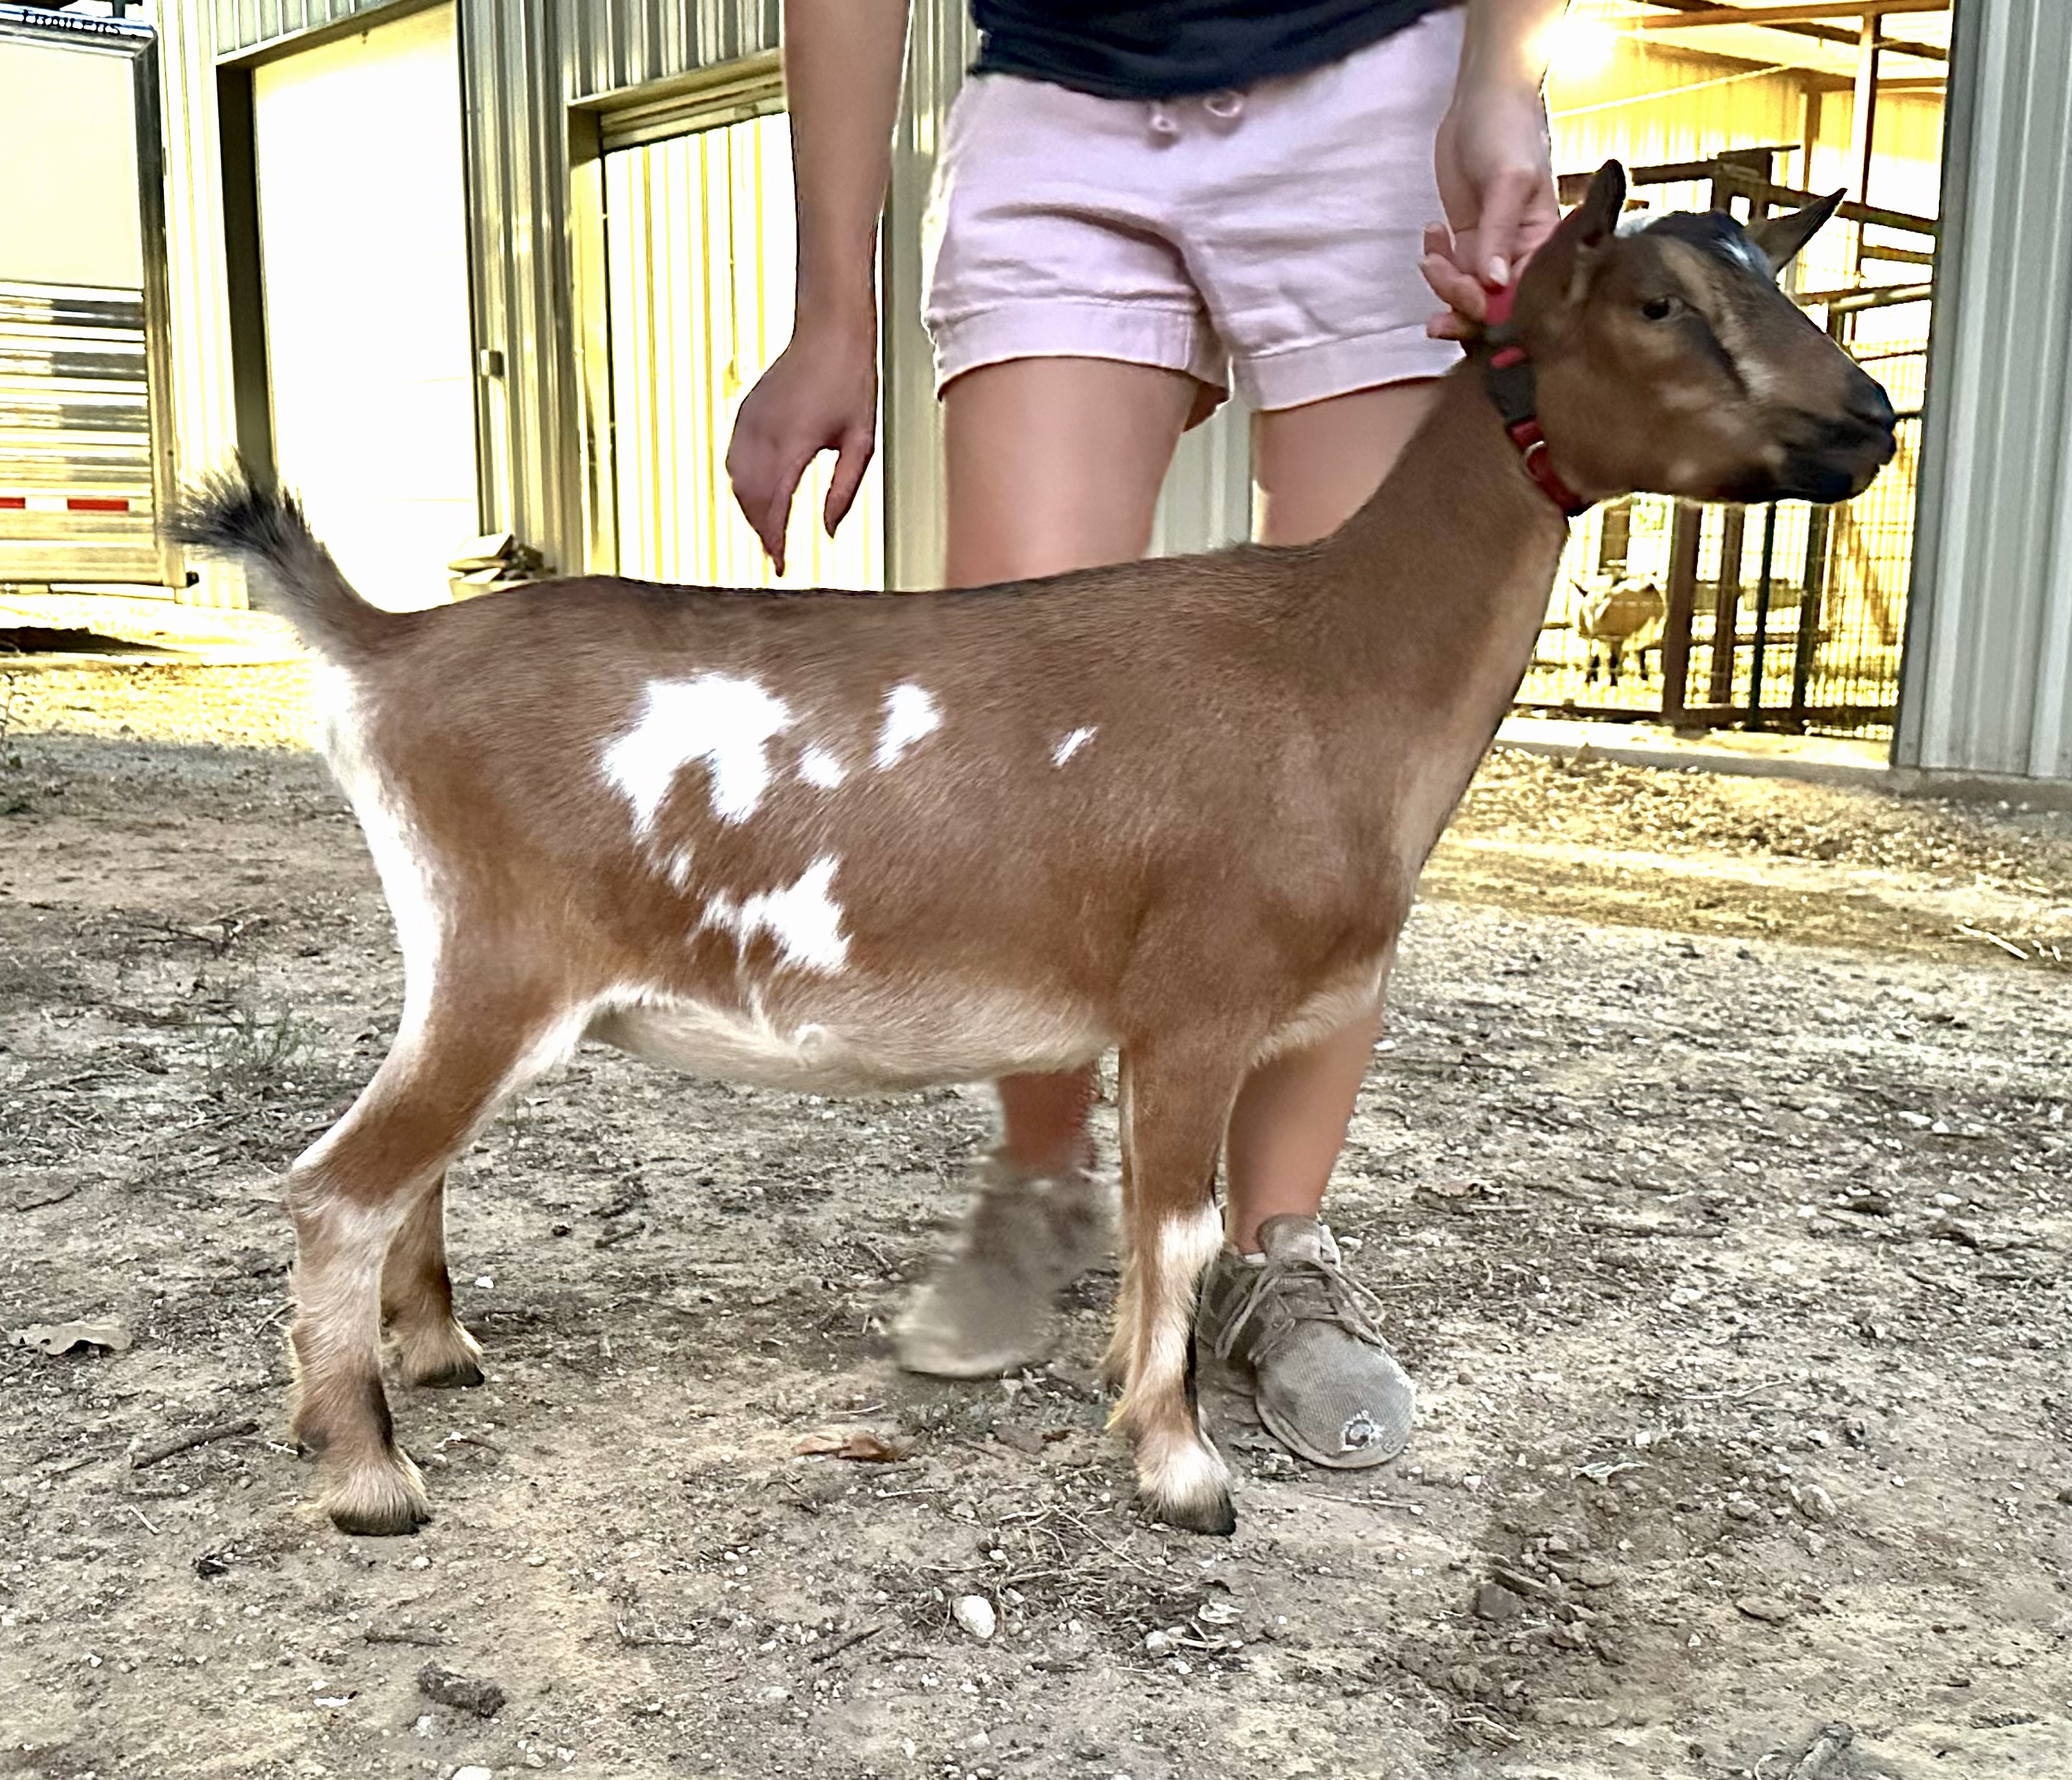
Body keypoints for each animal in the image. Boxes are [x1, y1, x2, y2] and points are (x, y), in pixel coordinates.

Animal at [169, 164, 1893, 1539]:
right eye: (1659, 303)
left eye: (1777, 283)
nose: (1867, 421)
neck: (1332, 660)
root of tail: (387, 641)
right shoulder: (1194, 1001)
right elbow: (1178, 1225)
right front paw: (1180, 1467)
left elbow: (1156, 1233)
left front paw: (1138, 1399)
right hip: (504, 955)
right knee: (339, 1183)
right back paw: (367, 1472)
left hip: (464, 964)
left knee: (406, 1167)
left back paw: (436, 1353)